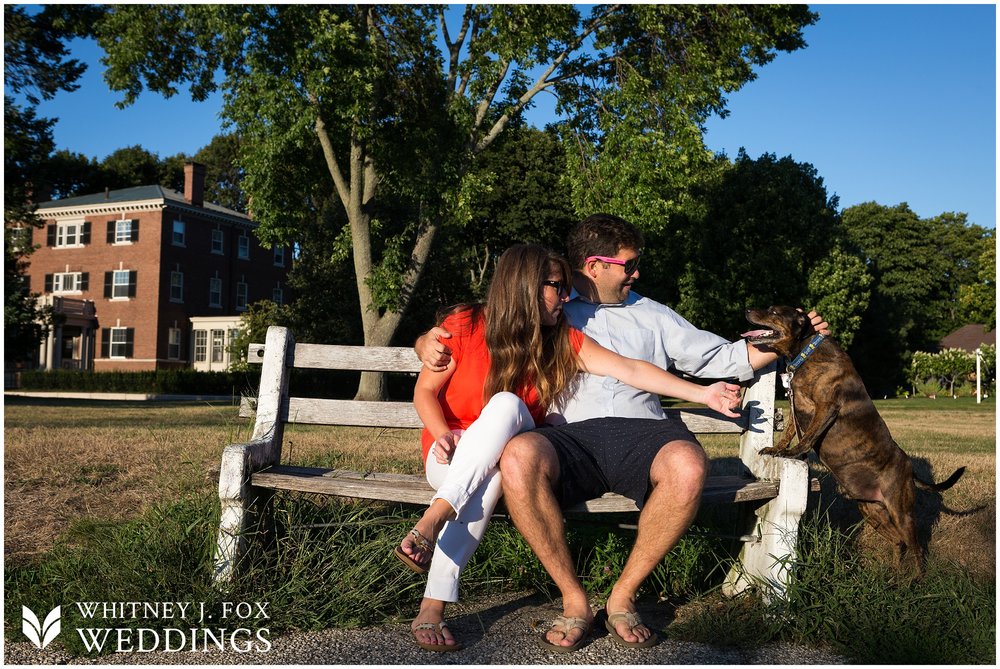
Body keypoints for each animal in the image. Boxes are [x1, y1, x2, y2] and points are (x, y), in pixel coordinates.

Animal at [744, 306, 960, 572]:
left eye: (773, 311)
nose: (747, 309)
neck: (805, 352)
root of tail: (910, 469)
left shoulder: (825, 407)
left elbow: (808, 437)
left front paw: (792, 453)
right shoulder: (798, 408)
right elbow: (788, 432)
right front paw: (776, 448)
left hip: (901, 512)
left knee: (917, 548)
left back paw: (915, 579)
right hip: (871, 509)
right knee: (898, 541)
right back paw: (894, 575)